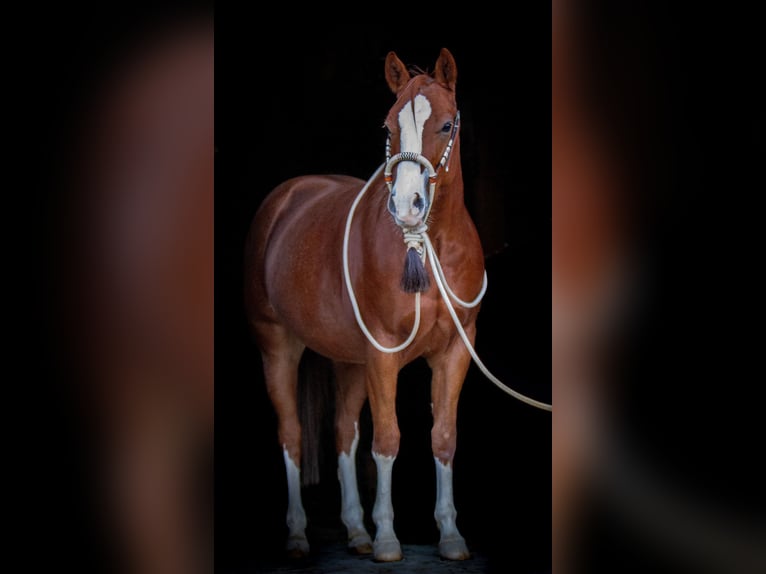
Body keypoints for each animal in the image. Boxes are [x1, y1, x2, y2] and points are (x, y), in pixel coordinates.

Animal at [244, 48, 484, 562]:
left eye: (447, 125)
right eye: (388, 126)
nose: (407, 206)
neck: (429, 247)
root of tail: (286, 198)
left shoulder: (454, 351)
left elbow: (443, 437)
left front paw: (450, 536)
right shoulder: (383, 352)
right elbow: (388, 440)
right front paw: (388, 539)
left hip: (348, 361)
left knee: (342, 433)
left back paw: (355, 531)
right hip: (278, 346)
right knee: (292, 433)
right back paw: (298, 536)